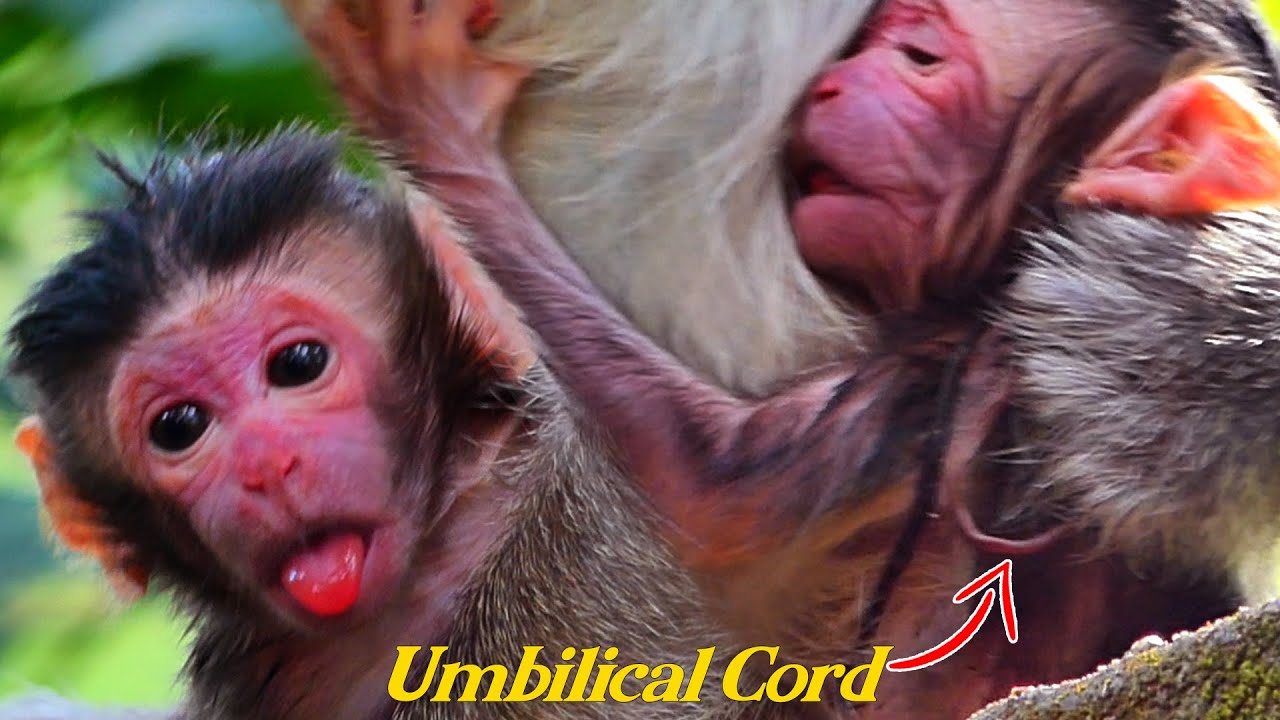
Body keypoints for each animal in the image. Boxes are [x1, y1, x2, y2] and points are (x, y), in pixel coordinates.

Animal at [287, 0, 1280, 716]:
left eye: (920, 61)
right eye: (873, 42)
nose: (830, 86)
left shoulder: (955, 365)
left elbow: (719, 502)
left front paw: (426, 106)